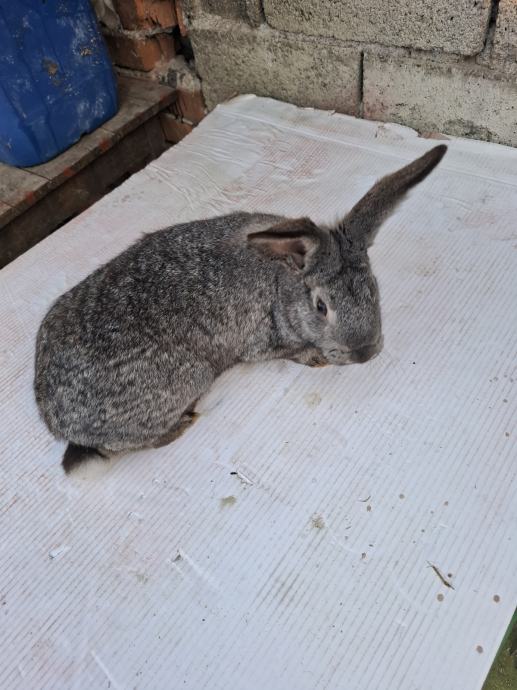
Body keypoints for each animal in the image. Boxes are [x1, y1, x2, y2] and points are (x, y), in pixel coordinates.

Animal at [34, 144, 446, 473]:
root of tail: (59, 424)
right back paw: (182, 423)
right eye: (321, 306)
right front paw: (314, 358)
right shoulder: (258, 342)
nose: (364, 353)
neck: (282, 280)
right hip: (191, 376)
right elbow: (285, 351)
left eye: (374, 287)